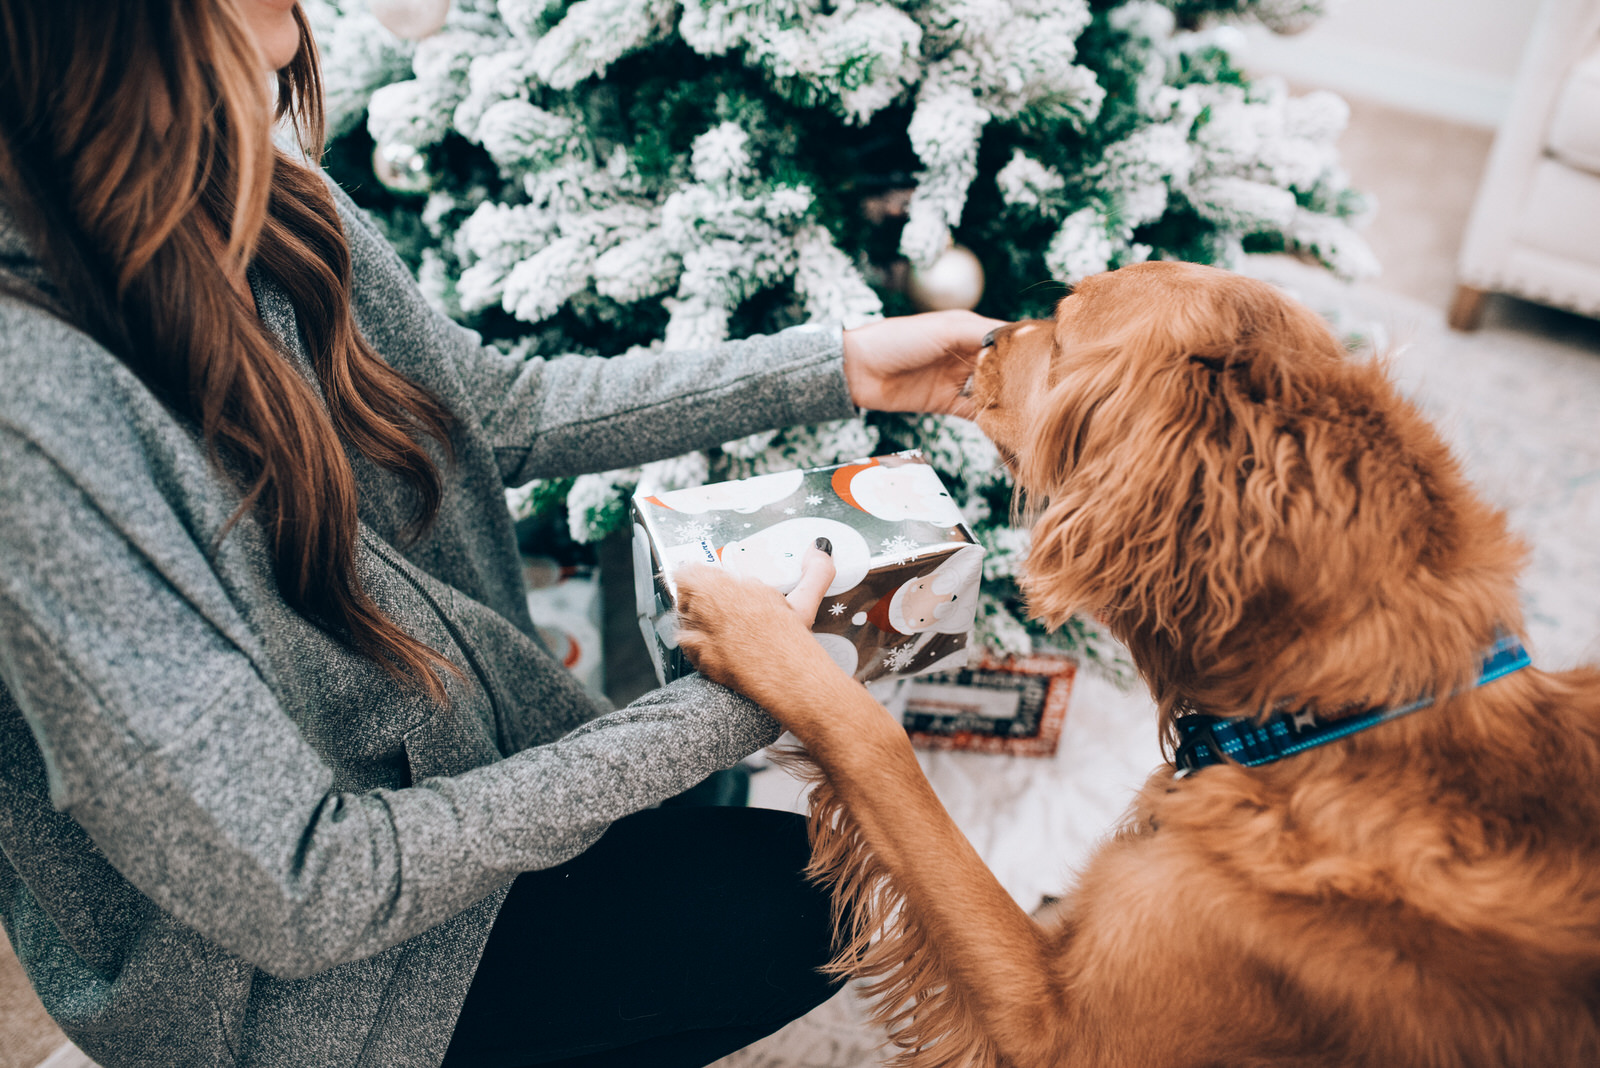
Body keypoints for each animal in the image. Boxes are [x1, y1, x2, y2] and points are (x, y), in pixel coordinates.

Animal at [675, 260, 1600, 1068]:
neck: (1332, 716)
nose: (983, 335)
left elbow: (881, 748)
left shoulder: (1064, 1029)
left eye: (1065, 327)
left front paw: (754, 624)